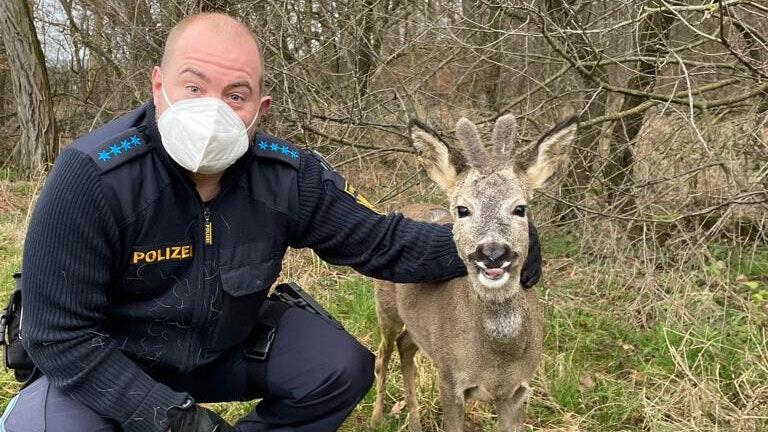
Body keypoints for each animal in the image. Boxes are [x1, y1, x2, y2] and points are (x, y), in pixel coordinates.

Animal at [370, 113, 576, 430]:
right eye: (462, 209)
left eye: (520, 208)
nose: (492, 253)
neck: (497, 359)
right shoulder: (450, 380)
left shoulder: (518, 390)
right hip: (385, 307)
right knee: (382, 355)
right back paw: (377, 418)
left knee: (406, 346)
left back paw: (414, 422)